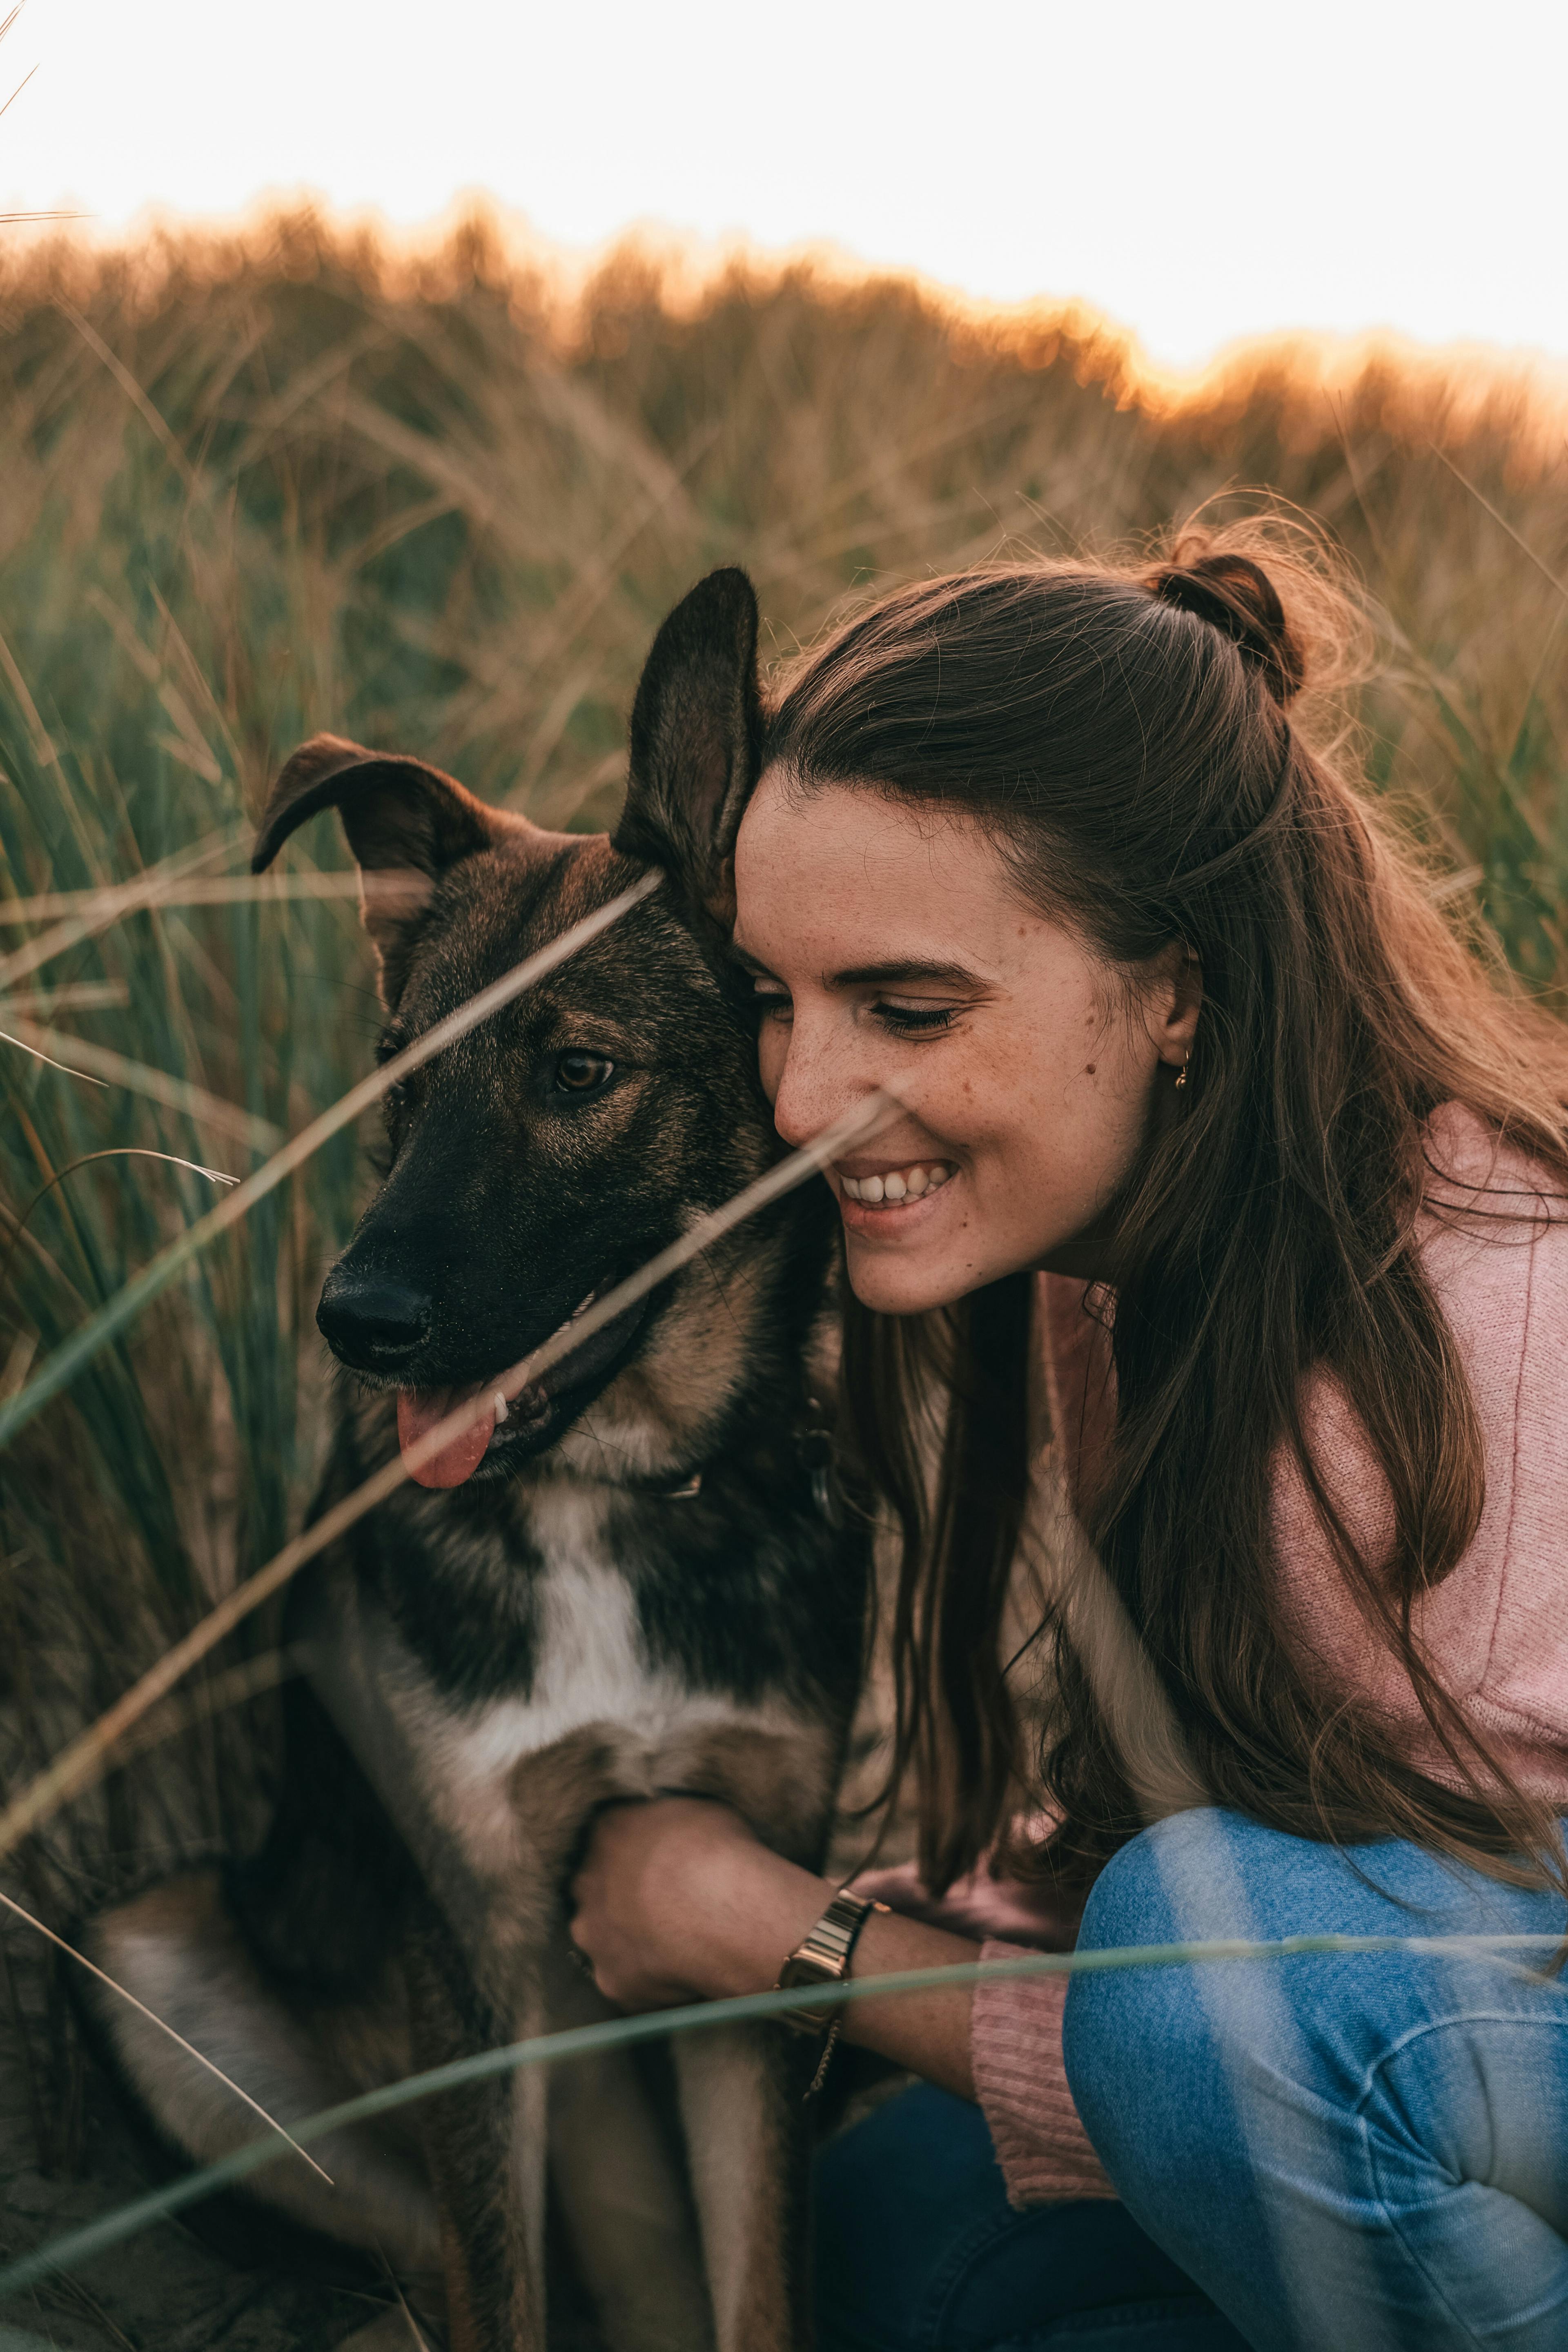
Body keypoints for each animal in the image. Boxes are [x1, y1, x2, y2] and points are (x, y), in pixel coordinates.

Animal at [82, 574, 870, 2352]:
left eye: (578, 1072)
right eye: (400, 1071)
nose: (356, 1324)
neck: (616, 1498)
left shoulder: (731, 1925)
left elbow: (766, 2292)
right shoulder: (477, 1951)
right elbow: (500, 2286)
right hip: (155, 1956)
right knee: (433, 2268)